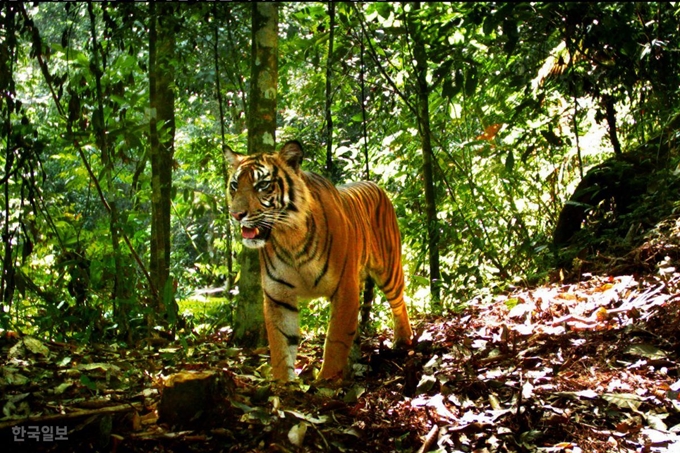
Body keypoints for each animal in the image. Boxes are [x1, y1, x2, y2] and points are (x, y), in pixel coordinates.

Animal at [226, 139, 412, 380]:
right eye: (234, 185)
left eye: (263, 185)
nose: (236, 214)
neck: (290, 237)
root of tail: (375, 184)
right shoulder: (278, 296)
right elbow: (280, 346)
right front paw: (284, 383)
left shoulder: (345, 288)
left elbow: (336, 340)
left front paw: (327, 381)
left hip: (389, 270)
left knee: (399, 302)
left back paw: (403, 340)